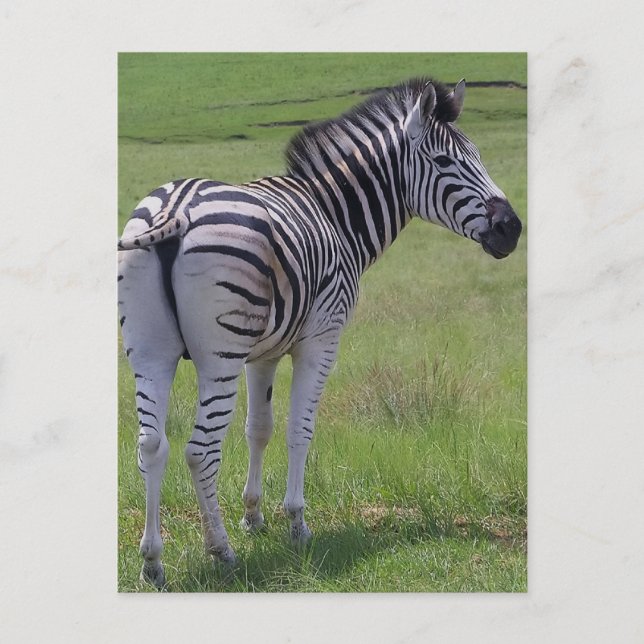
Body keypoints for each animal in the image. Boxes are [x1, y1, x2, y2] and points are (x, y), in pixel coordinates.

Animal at [118, 78, 522, 588]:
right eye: (445, 162)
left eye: (478, 157)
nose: (513, 228)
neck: (335, 215)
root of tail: (176, 207)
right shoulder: (321, 340)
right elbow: (300, 429)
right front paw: (296, 522)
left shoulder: (264, 352)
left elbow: (259, 428)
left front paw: (254, 516)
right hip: (218, 356)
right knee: (199, 450)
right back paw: (221, 550)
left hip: (150, 351)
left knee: (151, 446)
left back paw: (153, 561)